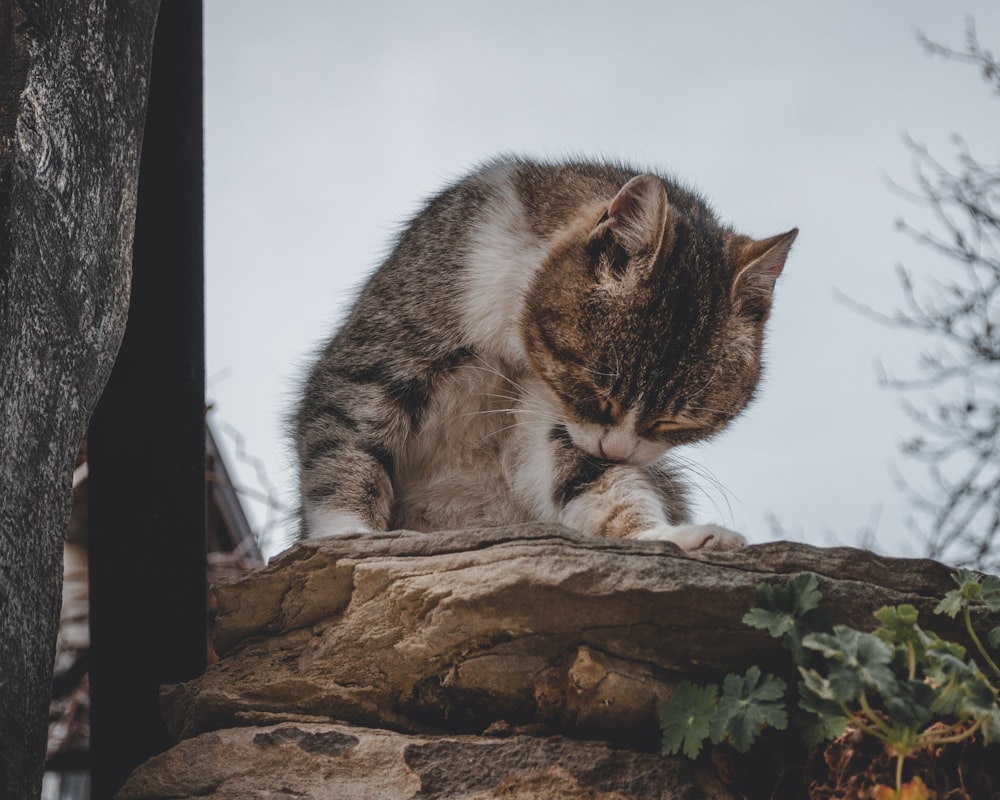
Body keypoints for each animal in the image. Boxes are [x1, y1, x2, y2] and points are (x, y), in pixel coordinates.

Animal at [292, 159, 796, 552]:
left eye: (675, 422)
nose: (617, 452)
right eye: (596, 390)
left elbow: (595, 484)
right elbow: (344, 448)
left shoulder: (557, 423)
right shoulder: (377, 362)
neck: (512, 348)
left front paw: (664, 537)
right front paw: (351, 535)